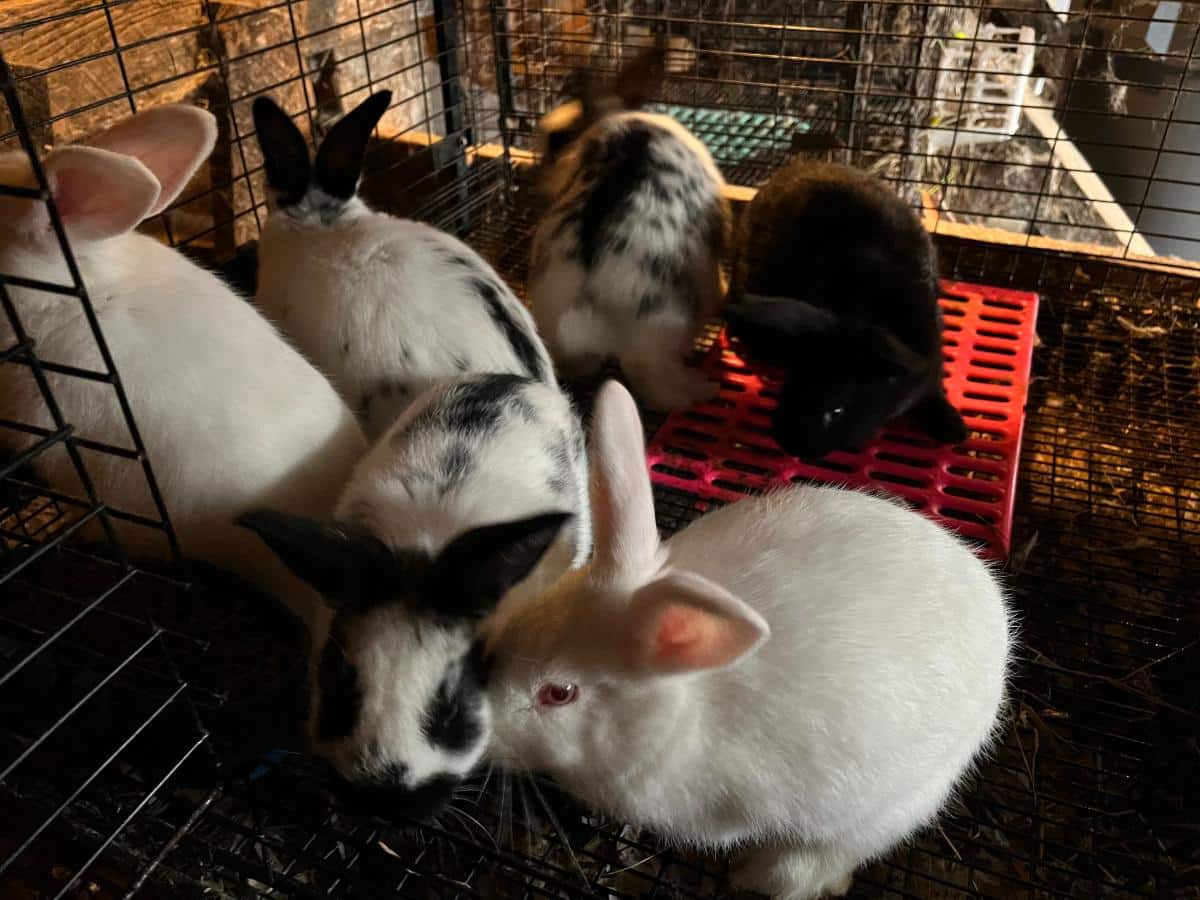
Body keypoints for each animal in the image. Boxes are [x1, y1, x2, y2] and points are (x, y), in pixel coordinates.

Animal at [484, 380, 1012, 899]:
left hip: (889, 807)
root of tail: (995, 614)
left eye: (559, 693)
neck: (679, 709)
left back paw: (761, 877)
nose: (481, 733)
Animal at [529, 41, 730, 411]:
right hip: (664, 335)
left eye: (557, 140)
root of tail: (589, 301)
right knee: (659, 386)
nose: (541, 179)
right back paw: (702, 389)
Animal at [724, 159, 968, 458]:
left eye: (837, 410)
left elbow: (934, 389)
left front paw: (954, 430)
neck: (864, 307)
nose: (787, 442)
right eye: (791, 383)